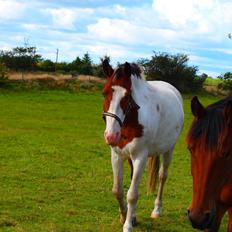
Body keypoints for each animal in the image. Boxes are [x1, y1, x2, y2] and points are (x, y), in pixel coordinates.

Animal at [101, 60, 183, 232]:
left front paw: (127, 226)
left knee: (162, 176)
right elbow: (118, 190)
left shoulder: (140, 157)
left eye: (127, 96)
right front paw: (126, 216)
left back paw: (157, 210)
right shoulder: (117, 156)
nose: (111, 136)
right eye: (104, 93)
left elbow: (132, 195)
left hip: (168, 150)